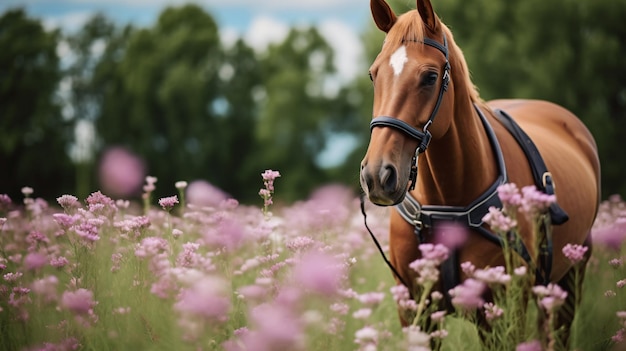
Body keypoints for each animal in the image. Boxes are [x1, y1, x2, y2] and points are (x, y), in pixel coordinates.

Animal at [360, 0, 600, 348]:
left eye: (430, 77)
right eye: (373, 75)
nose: (378, 176)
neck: (447, 203)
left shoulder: (502, 314)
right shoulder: (415, 312)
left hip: (571, 277)